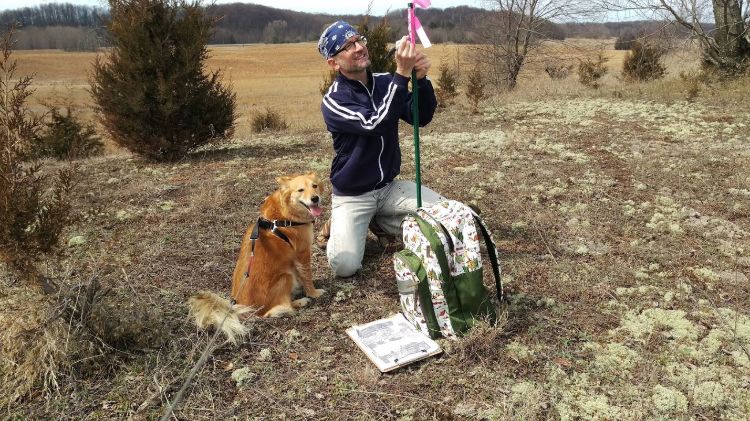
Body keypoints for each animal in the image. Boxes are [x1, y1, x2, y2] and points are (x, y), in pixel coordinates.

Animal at [189, 172, 324, 340]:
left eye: (314, 186)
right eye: (300, 190)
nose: (315, 198)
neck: (286, 214)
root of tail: (242, 310)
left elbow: (301, 276)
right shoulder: (303, 253)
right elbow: (307, 276)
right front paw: (313, 293)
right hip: (285, 277)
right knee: (275, 310)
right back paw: (301, 301)